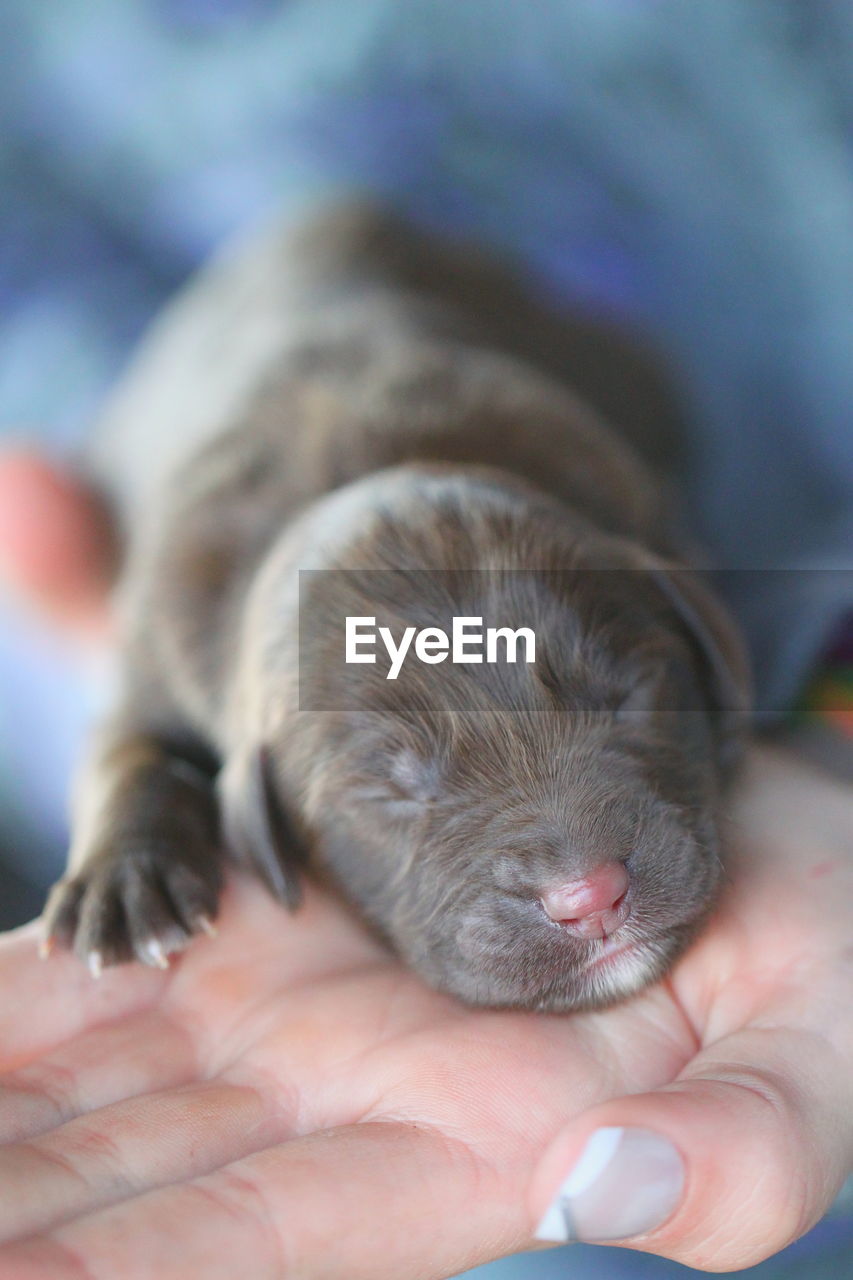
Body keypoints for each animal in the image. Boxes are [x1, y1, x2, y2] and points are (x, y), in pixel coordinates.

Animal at [43, 204, 747, 1008]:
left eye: (626, 694)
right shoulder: (160, 638)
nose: (589, 896)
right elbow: (124, 750)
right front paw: (124, 882)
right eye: (393, 788)